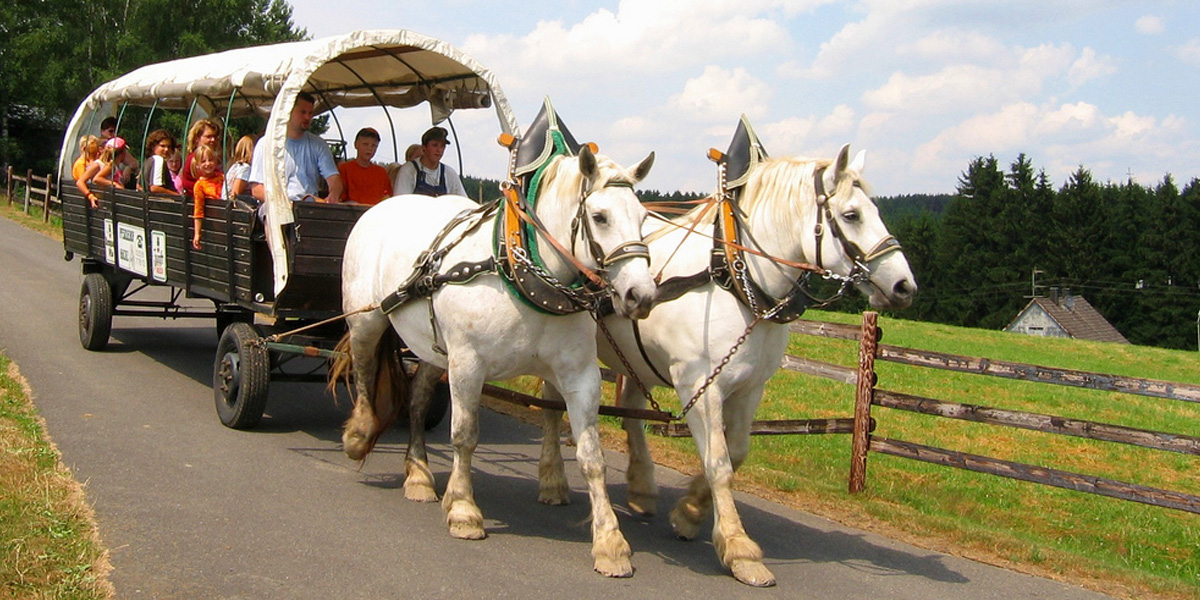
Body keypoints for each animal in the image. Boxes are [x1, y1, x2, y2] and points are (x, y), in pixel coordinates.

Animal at [331, 144, 657, 576]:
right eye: (600, 217)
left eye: (643, 218)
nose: (642, 295)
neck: (520, 273)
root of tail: (382, 207)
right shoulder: (469, 364)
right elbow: (465, 436)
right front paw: (463, 510)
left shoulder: (579, 376)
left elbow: (592, 457)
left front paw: (609, 541)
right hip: (367, 320)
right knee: (366, 370)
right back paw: (359, 435)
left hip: (435, 349)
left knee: (417, 399)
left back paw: (418, 473)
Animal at [540, 141, 912, 585]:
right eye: (852, 214)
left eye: (876, 210)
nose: (905, 285)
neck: (733, 277)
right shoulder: (700, 385)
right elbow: (718, 461)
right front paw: (738, 547)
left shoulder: (750, 388)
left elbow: (735, 452)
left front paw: (689, 512)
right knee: (551, 407)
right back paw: (553, 481)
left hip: (634, 359)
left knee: (630, 411)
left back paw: (642, 487)